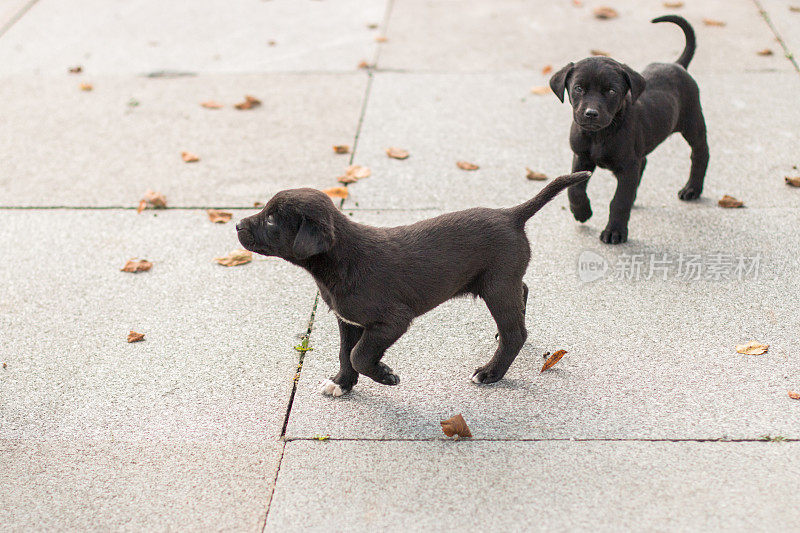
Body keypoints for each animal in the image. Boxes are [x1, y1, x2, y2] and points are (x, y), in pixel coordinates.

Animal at [234, 170, 592, 394]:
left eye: (271, 219)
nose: (237, 224)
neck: (340, 260)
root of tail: (511, 215)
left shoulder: (392, 319)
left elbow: (360, 354)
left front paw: (385, 376)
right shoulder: (348, 320)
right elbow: (345, 352)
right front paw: (342, 383)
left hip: (496, 285)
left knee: (515, 333)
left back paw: (489, 373)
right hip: (502, 280)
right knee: (523, 291)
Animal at [552, 14, 708, 243]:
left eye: (611, 91)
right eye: (578, 88)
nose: (591, 113)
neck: (600, 135)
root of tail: (677, 65)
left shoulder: (627, 167)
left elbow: (619, 201)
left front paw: (614, 232)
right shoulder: (581, 156)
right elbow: (575, 189)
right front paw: (582, 212)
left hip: (692, 122)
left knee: (700, 153)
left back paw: (692, 189)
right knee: (644, 162)